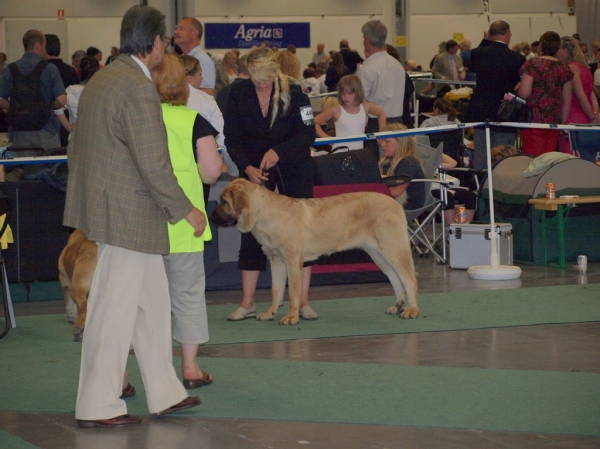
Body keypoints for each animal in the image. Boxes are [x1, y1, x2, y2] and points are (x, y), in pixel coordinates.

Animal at [211, 177, 418, 324]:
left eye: (224, 202)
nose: (211, 217)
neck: (265, 214)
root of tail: (395, 202)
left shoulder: (293, 261)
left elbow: (293, 292)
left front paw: (291, 317)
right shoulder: (276, 261)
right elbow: (276, 291)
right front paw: (270, 313)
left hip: (393, 249)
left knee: (409, 279)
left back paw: (412, 310)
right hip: (378, 254)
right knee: (395, 278)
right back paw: (398, 306)